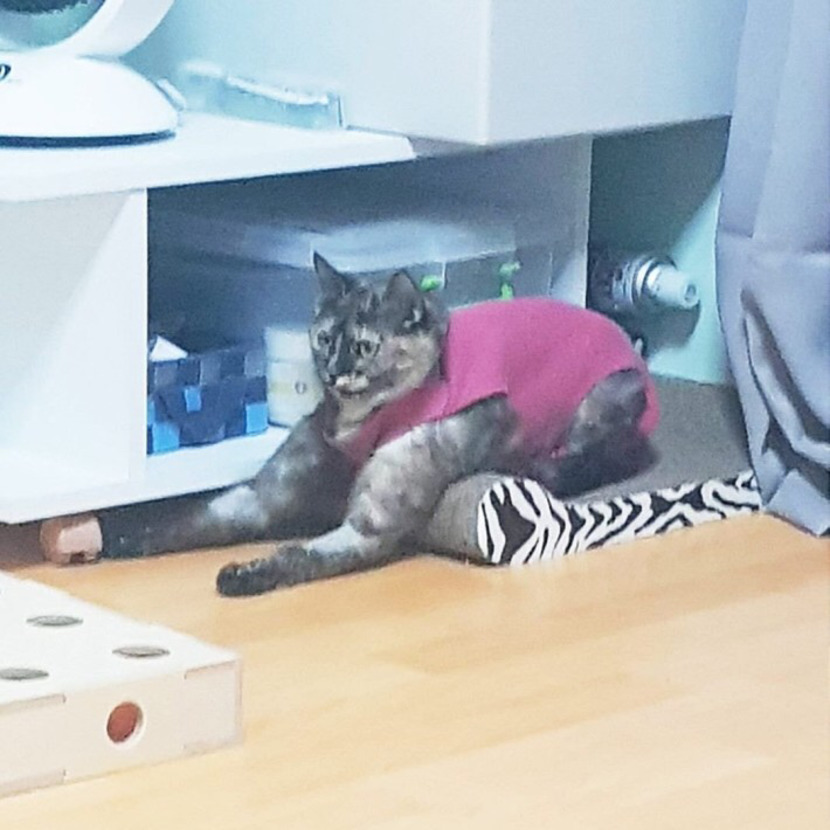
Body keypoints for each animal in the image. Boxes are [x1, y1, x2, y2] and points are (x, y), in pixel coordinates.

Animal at [58, 254, 658, 595]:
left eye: (366, 346)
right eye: (324, 337)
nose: (334, 370)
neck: (353, 428)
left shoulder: (370, 529)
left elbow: (296, 555)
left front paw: (245, 576)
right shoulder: (262, 498)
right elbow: (192, 518)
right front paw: (122, 535)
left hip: (599, 405)